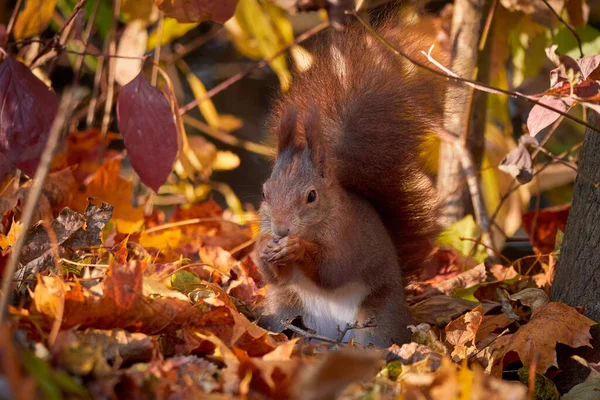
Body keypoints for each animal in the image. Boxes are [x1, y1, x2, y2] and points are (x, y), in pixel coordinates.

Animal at [251, 14, 442, 346]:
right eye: (265, 193)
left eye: (311, 196)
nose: (280, 230)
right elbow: (275, 276)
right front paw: (263, 247)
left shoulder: (349, 236)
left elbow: (333, 269)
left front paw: (297, 247)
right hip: (284, 309)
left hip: (376, 323)